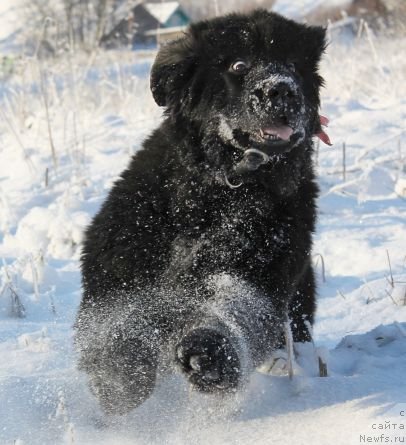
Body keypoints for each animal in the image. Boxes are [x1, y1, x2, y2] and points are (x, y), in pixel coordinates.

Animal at [75, 9, 330, 412]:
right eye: (238, 65)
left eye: (292, 64)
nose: (281, 89)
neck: (218, 188)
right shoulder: (120, 264)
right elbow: (120, 325)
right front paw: (121, 375)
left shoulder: (259, 267)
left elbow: (233, 306)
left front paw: (209, 354)